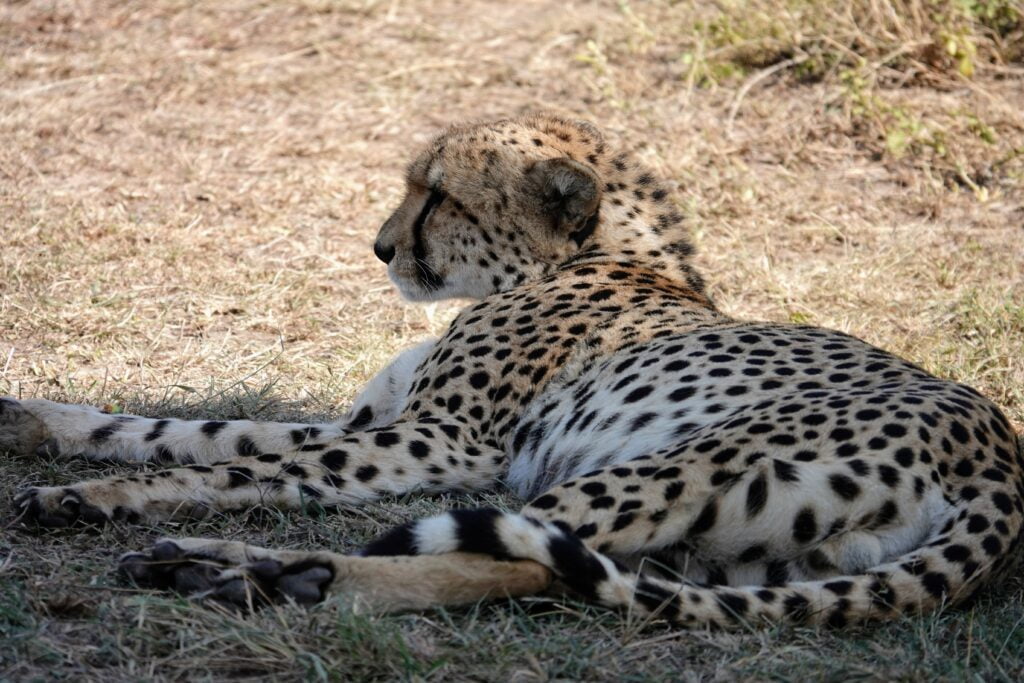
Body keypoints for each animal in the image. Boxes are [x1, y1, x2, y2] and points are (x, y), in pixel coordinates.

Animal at [4, 113, 1019, 630]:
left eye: (438, 195)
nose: (380, 249)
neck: (587, 257)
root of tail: (999, 453)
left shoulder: (440, 443)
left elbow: (246, 465)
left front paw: (99, 496)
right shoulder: (374, 423)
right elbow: (203, 429)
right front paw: (38, 424)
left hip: (662, 467)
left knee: (474, 548)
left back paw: (245, 568)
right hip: (748, 556)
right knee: (531, 571)